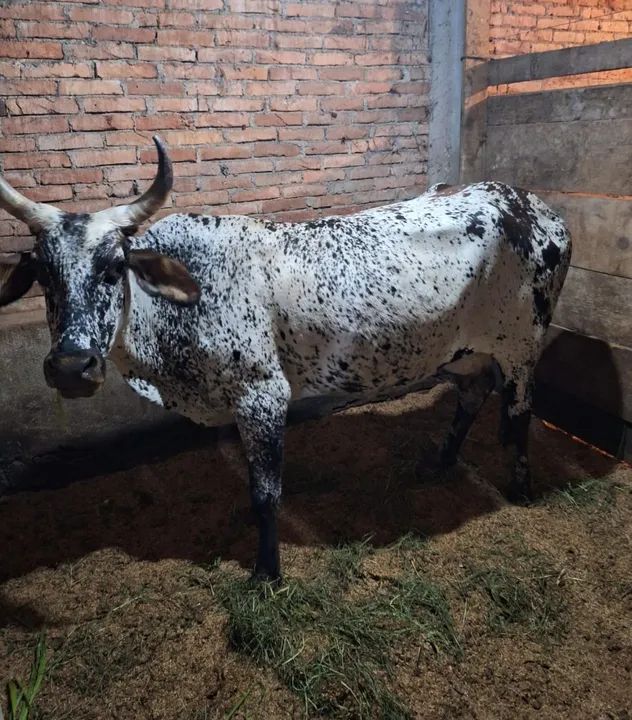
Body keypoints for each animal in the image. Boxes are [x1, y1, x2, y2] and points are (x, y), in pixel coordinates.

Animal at [0, 136, 571, 581]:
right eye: (43, 273)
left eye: (114, 267)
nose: (71, 367)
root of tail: (534, 205)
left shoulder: (264, 395)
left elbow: (266, 493)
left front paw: (266, 572)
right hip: (463, 349)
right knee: (472, 396)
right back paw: (440, 463)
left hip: (523, 345)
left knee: (518, 412)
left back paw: (520, 490)